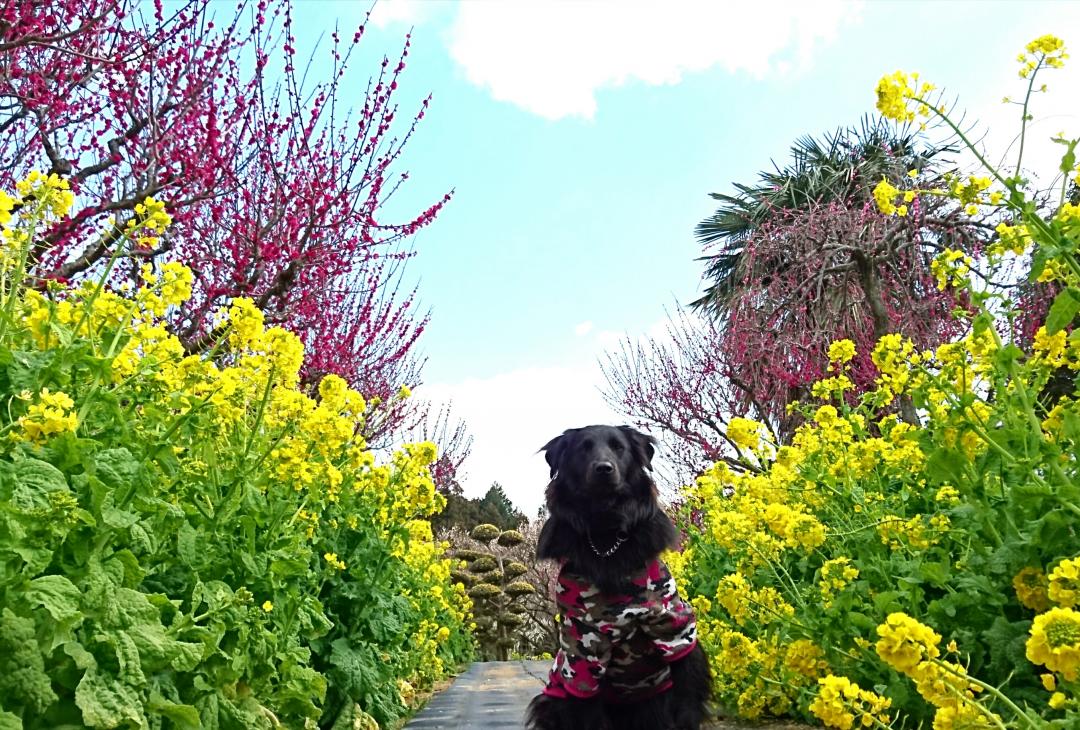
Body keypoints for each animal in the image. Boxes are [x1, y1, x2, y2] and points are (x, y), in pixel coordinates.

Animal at [522, 425, 708, 730]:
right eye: (583, 448)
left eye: (619, 447)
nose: (603, 468)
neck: (606, 535)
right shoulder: (582, 648)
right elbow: (588, 710)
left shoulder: (673, 625)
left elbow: (687, 696)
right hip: (553, 698)